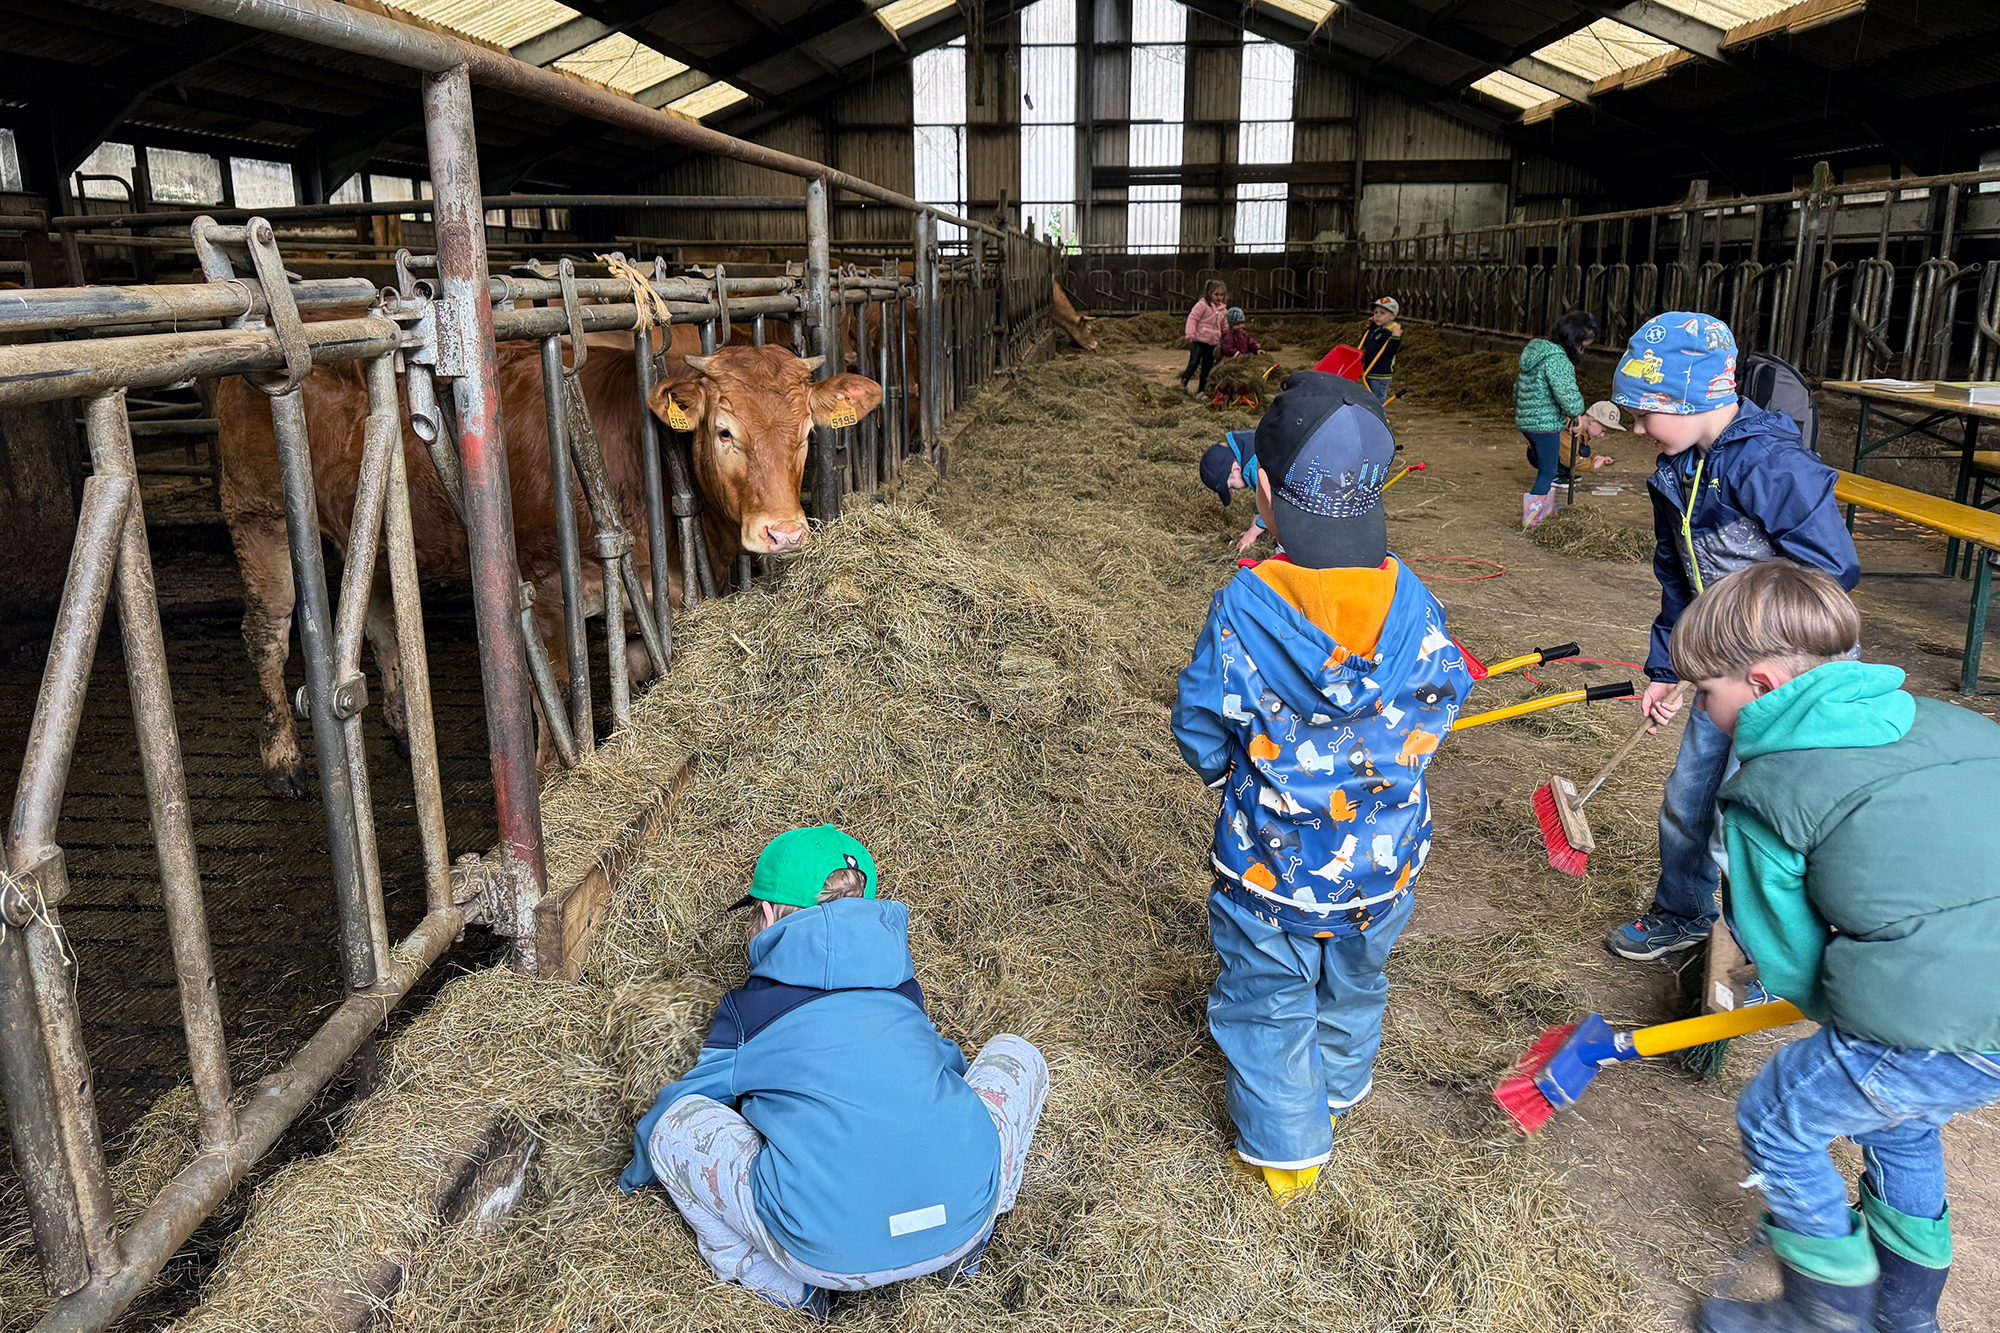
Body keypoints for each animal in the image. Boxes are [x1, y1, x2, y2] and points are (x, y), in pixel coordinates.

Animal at [217, 328, 876, 792]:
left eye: (807, 433)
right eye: (723, 431)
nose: (784, 533)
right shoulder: (553, 589)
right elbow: (558, 692)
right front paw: (549, 783)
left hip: (375, 537)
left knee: (378, 622)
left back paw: (404, 729)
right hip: (258, 513)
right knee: (266, 631)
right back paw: (284, 762)